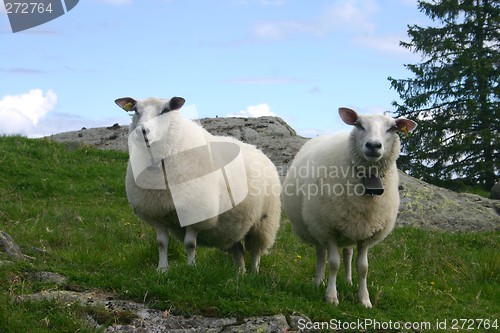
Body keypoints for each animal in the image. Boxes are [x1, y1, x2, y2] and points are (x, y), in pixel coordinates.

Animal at [114, 95, 282, 272]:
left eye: (165, 110)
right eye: (135, 110)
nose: (142, 131)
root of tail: (258, 149)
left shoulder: (195, 212)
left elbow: (190, 244)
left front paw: (191, 268)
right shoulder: (156, 213)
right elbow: (161, 244)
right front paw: (162, 270)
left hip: (264, 221)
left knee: (255, 251)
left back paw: (254, 273)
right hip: (231, 226)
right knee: (238, 250)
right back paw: (240, 274)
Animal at [282, 107, 418, 308]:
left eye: (392, 128)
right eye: (359, 125)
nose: (373, 145)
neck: (368, 178)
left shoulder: (367, 234)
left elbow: (363, 268)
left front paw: (364, 299)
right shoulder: (329, 229)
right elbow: (333, 263)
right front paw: (331, 297)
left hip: (350, 227)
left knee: (347, 253)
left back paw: (347, 281)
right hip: (316, 226)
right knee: (321, 255)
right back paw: (318, 282)